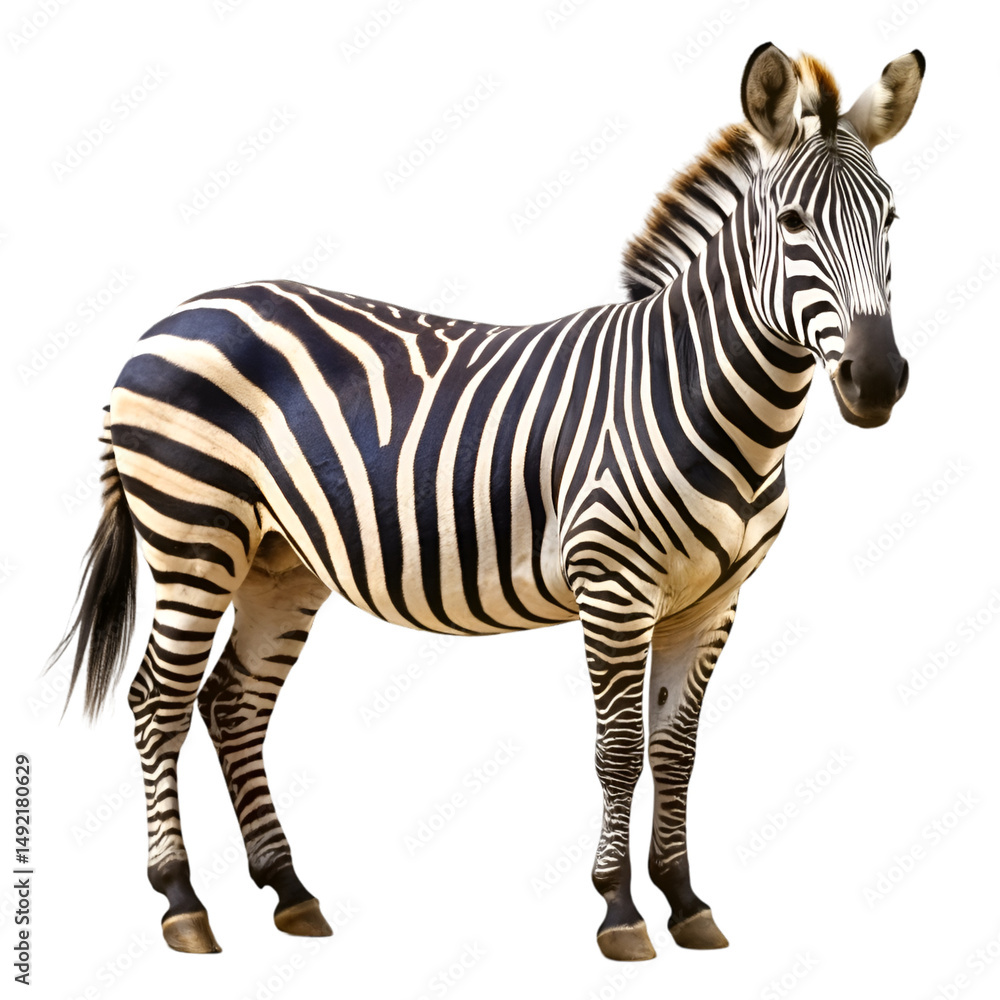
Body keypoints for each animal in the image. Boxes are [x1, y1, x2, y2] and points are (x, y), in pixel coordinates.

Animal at [51, 42, 924, 960]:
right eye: (791, 223)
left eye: (892, 218)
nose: (877, 380)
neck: (704, 400)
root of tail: (169, 317)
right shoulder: (613, 585)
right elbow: (620, 750)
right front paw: (620, 909)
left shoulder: (712, 601)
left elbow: (676, 751)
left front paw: (686, 901)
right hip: (194, 531)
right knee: (158, 700)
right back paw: (181, 901)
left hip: (277, 560)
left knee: (233, 702)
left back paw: (290, 890)